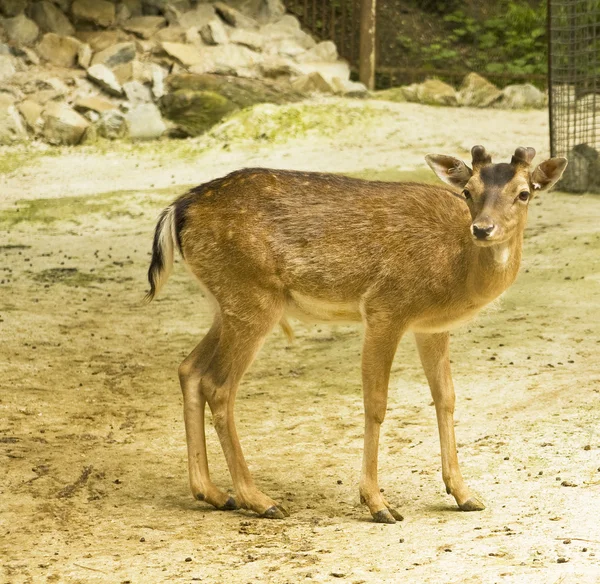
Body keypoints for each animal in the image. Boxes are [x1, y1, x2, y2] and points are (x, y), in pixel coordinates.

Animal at [145, 146, 568, 524]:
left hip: (226, 303)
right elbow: (376, 403)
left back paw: (213, 493)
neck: (456, 272)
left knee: (189, 369)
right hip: (251, 297)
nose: (482, 228)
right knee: (218, 385)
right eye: (468, 191)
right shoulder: (385, 309)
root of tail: (176, 210)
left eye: (524, 192)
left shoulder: (431, 326)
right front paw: (378, 504)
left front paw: (465, 495)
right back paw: (259, 500)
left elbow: (446, 398)